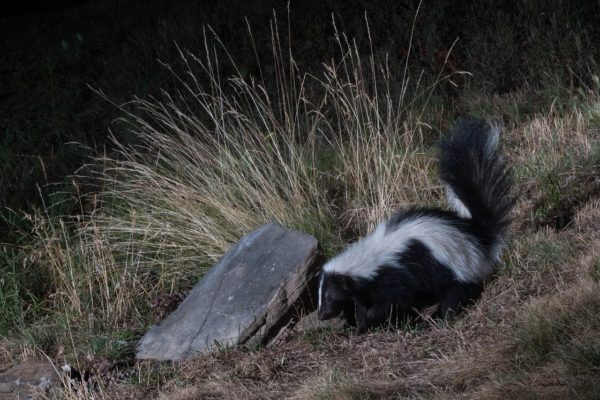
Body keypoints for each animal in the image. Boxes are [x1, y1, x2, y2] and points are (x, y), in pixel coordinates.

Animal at [318, 119, 510, 332]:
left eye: (330, 297)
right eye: (321, 297)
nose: (322, 315)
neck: (369, 261)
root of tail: (478, 235)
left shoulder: (396, 276)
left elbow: (394, 300)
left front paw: (374, 318)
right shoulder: (364, 291)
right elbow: (361, 305)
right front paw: (361, 326)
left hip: (455, 269)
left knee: (454, 294)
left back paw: (440, 317)